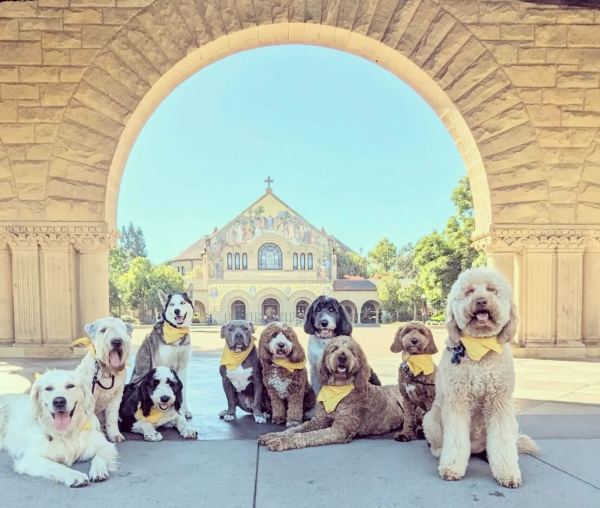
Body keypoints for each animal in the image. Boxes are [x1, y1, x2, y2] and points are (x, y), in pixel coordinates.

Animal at [131, 284, 195, 418]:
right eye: (172, 304)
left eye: (182, 303)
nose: (177, 311)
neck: (176, 333)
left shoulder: (183, 367)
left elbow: (183, 390)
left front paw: (184, 410)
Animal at [258, 336, 404, 450]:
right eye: (334, 348)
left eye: (352, 351)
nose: (342, 356)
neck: (338, 388)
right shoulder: (319, 420)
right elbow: (296, 429)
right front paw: (275, 435)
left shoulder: (339, 430)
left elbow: (310, 435)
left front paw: (282, 441)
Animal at [422, 266, 540, 488]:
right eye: (469, 291)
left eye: (492, 290)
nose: (481, 301)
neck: (480, 350)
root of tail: (476, 448)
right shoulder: (457, 401)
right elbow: (455, 438)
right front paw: (451, 468)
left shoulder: (500, 403)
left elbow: (502, 442)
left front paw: (508, 472)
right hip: (430, 419)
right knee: (438, 443)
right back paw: (441, 452)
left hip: (513, 423)